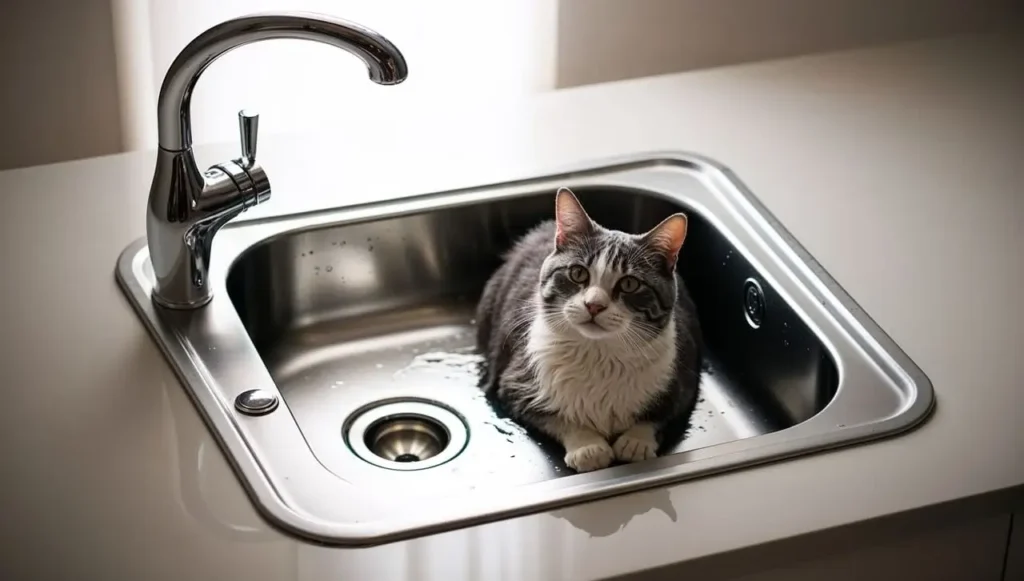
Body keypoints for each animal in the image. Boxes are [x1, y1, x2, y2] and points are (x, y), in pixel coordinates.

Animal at [473, 186, 704, 473]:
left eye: (629, 284)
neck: (598, 353)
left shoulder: (683, 378)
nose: (594, 305)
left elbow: (660, 414)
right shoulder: (515, 382)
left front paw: (635, 441)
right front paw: (588, 447)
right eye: (578, 273)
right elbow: (555, 415)